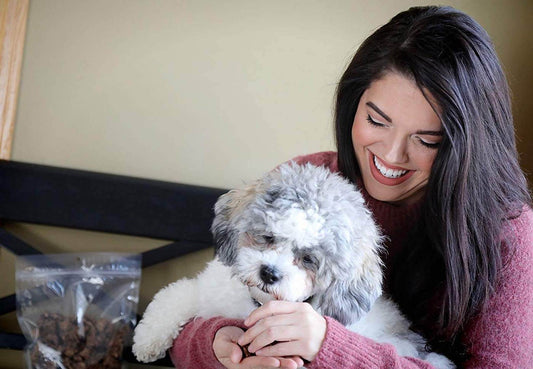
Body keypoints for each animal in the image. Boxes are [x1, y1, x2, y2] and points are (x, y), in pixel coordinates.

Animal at [132, 163, 454, 368]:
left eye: (309, 259)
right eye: (267, 237)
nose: (269, 272)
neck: (257, 305)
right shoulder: (207, 289)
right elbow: (173, 297)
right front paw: (147, 341)